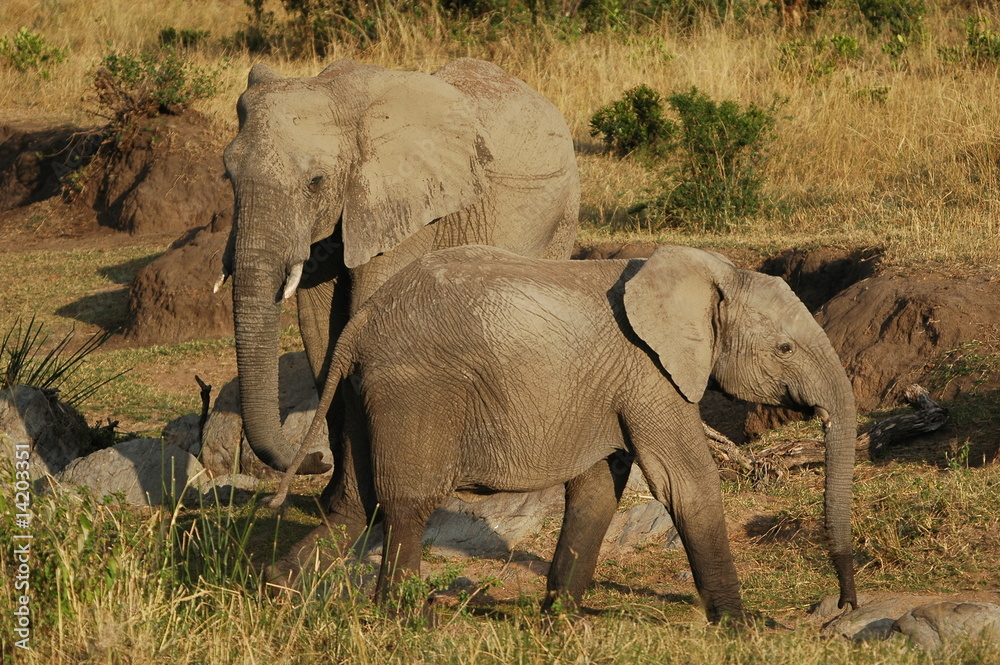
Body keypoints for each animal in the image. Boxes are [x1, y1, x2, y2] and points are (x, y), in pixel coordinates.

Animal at [217, 58, 580, 491]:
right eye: (228, 177)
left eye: (315, 182)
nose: (316, 458)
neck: (337, 92)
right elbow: (320, 331)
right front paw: (332, 498)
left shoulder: (407, 203)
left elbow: (363, 310)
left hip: (562, 212)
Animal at [272, 244, 858, 623]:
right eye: (785, 348)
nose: (843, 605)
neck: (712, 276)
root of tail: (361, 322)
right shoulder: (651, 373)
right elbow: (683, 484)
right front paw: (741, 628)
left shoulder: (615, 387)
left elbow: (597, 490)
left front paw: (563, 621)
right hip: (413, 389)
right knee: (405, 504)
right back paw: (404, 620)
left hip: (361, 391)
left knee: (356, 503)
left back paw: (280, 596)